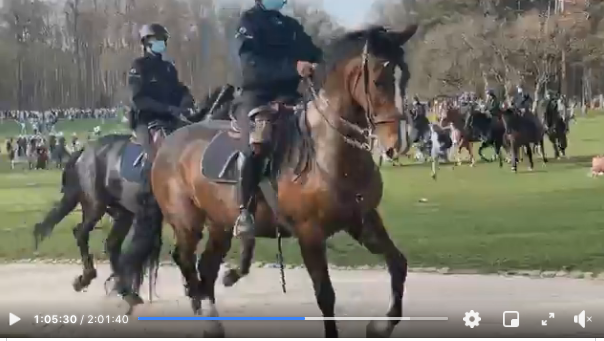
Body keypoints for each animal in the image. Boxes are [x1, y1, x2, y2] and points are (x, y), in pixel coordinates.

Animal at [116, 24, 418, 338]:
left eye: (405, 75)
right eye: (379, 80)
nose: (400, 142)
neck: (328, 152)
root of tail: (168, 143)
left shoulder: (362, 220)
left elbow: (398, 264)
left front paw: (381, 325)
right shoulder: (310, 234)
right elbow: (325, 295)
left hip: (220, 225)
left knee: (206, 268)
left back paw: (213, 317)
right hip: (187, 221)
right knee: (185, 259)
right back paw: (204, 315)